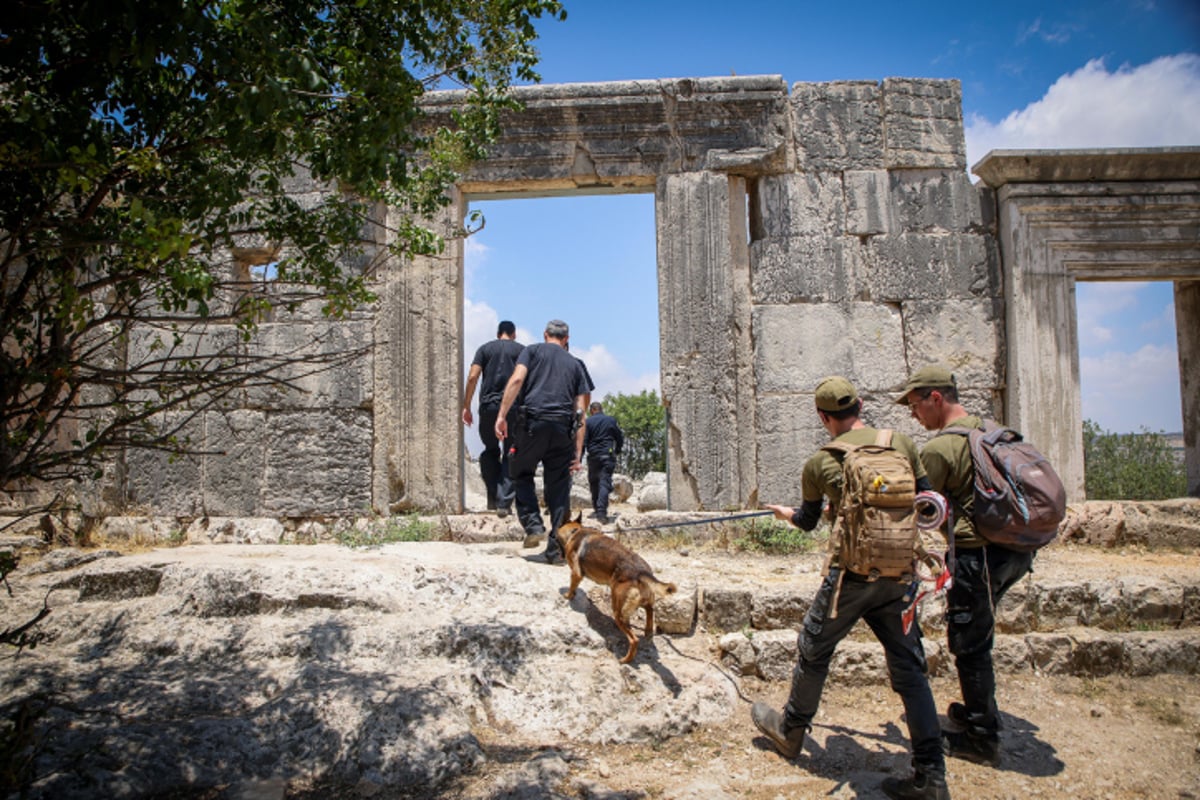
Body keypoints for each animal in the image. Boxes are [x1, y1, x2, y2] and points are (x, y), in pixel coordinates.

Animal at [559, 513, 681, 662]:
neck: (575, 531)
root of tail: (641, 572)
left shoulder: (576, 573)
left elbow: (572, 586)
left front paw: (568, 595)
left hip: (619, 611)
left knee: (634, 639)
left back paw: (625, 660)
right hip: (643, 601)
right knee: (649, 611)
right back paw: (647, 631)